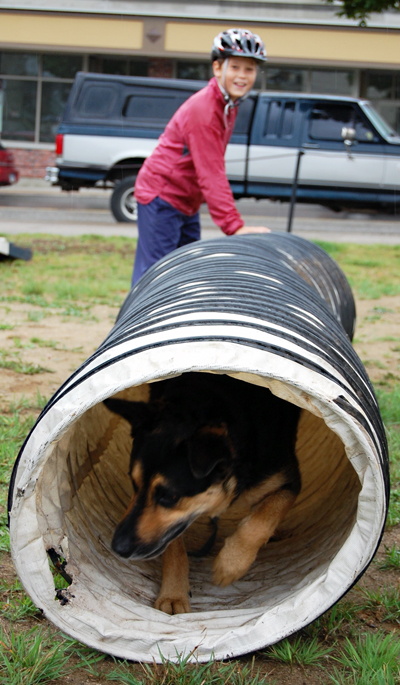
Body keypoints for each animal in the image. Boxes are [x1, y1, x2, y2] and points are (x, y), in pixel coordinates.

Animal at [103, 374, 300, 616]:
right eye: (133, 483)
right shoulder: (172, 525)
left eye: (169, 496)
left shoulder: (288, 481)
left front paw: (231, 564)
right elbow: (173, 548)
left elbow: (263, 519)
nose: (117, 548)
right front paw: (173, 594)